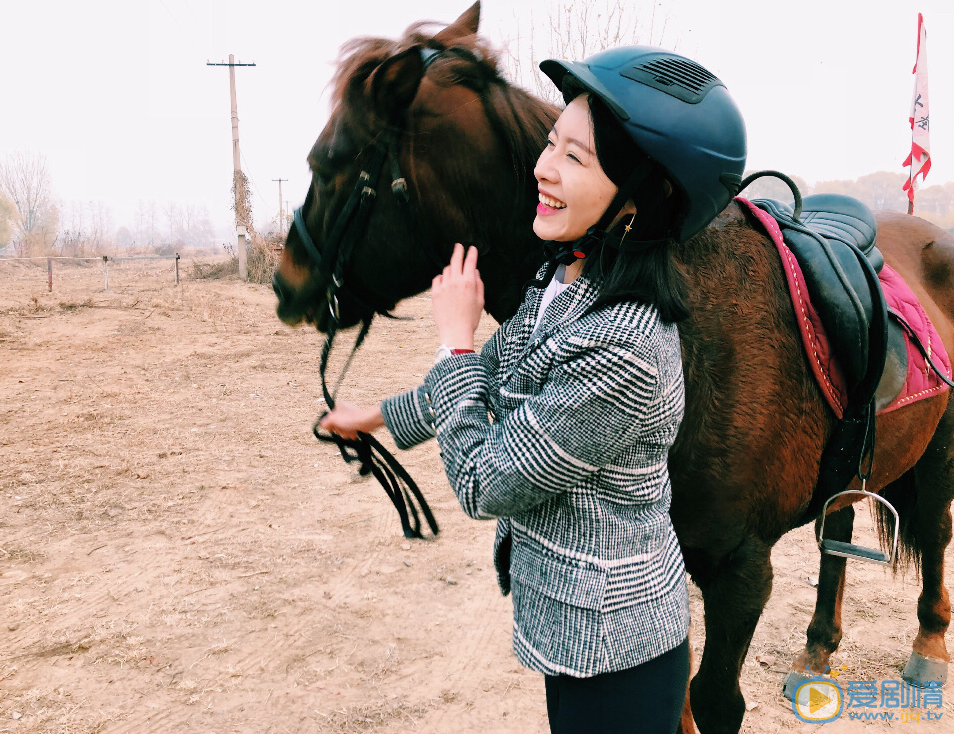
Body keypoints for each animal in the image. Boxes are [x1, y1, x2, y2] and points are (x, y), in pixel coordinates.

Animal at [270, 7, 952, 734]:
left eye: (327, 163)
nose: (286, 284)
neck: (680, 316)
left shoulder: (741, 572)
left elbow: (715, 701)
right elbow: (676, 697)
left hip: (939, 448)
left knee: (935, 531)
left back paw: (928, 647)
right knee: (839, 533)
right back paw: (818, 649)